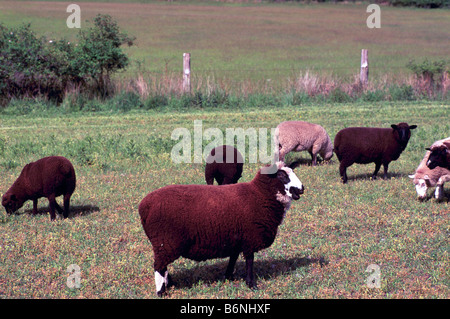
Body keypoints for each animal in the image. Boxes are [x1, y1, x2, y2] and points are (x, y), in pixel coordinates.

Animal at [139, 162, 304, 298]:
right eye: (282, 176)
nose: (302, 188)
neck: (259, 195)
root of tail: (144, 205)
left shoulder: (236, 237)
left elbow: (233, 257)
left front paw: (228, 277)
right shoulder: (249, 237)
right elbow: (250, 262)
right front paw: (251, 284)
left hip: (164, 243)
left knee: (163, 266)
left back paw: (169, 283)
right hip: (165, 241)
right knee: (159, 266)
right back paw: (161, 292)